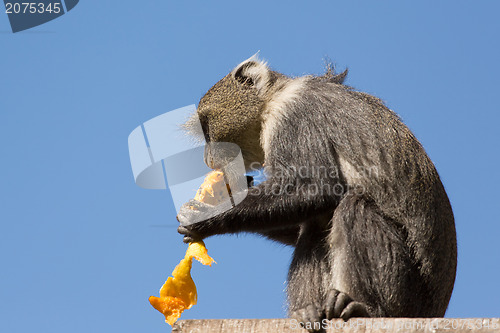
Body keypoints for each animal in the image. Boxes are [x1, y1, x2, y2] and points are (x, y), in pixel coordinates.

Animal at [176, 54, 458, 330]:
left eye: (207, 127)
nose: (208, 158)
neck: (274, 98)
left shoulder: (295, 117)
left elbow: (318, 189)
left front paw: (207, 215)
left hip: (405, 293)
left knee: (354, 207)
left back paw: (363, 308)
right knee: (316, 225)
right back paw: (308, 309)